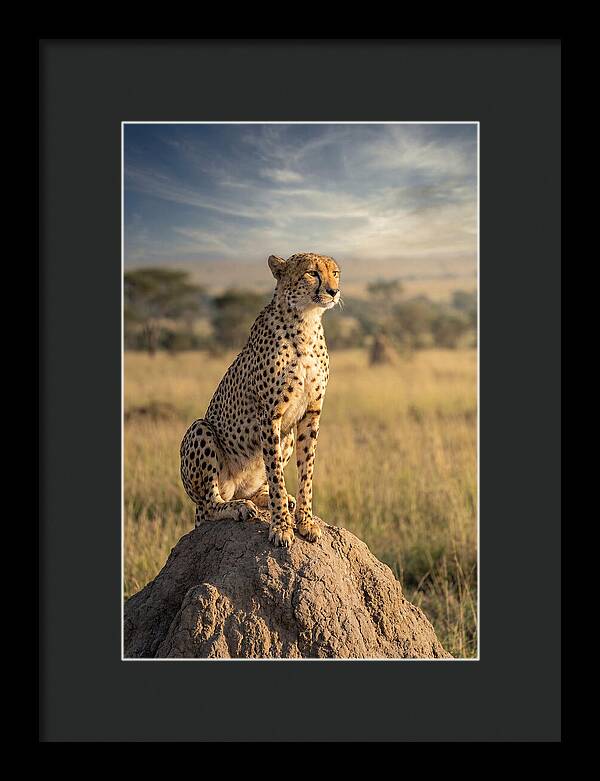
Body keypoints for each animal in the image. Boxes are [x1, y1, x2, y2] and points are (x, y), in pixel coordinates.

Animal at [180, 252, 341, 547]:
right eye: (312, 273)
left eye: (335, 273)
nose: (333, 291)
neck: (306, 321)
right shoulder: (270, 415)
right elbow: (276, 473)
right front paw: (281, 527)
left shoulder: (311, 413)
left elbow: (306, 472)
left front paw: (305, 521)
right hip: (200, 430)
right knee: (209, 504)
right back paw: (238, 507)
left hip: (286, 436)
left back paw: (269, 499)